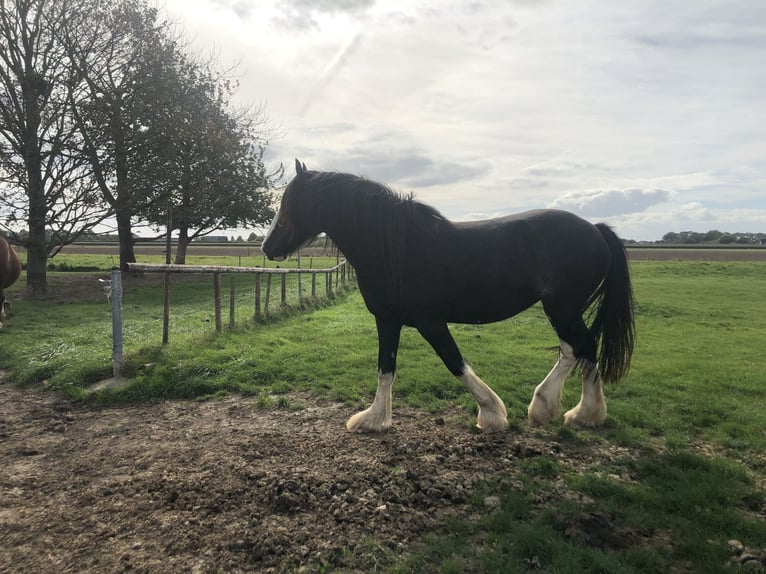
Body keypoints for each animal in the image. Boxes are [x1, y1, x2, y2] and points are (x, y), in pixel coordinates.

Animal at [262, 159, 635, 433]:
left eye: (289, 202)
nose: (267, 247)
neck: (395, 249)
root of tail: (595, 229)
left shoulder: (430, 321)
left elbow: (454, 362)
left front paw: (492, 414)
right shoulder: (388, 320)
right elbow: (386, 368)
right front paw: (374, 419)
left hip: (562, 308)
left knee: (579, 348)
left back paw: (559, 409)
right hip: (565, 309)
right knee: (583, 350)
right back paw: (580, 413)